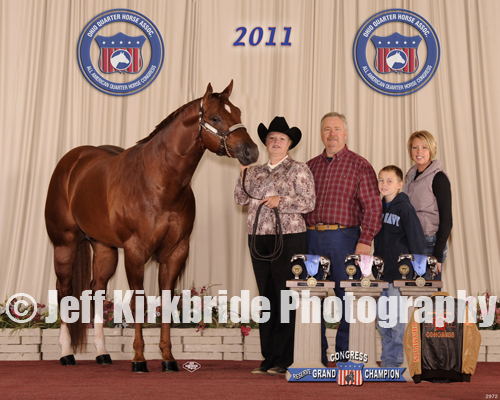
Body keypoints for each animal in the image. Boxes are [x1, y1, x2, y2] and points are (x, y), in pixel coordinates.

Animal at [44, 81, 259, 372]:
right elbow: (138, 303)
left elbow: (166, 304)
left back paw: (102, 353)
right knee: (64, 291)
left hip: (104, 249)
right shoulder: (135, 252)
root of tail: (71, 162)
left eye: (237, 112)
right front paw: (139, 359)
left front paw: (168, 358)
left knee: (96, 291)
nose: (251, 151)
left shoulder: (176, 252)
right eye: (215, 118)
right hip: (64, 245)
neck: (158, 182)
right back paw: (66, 353)